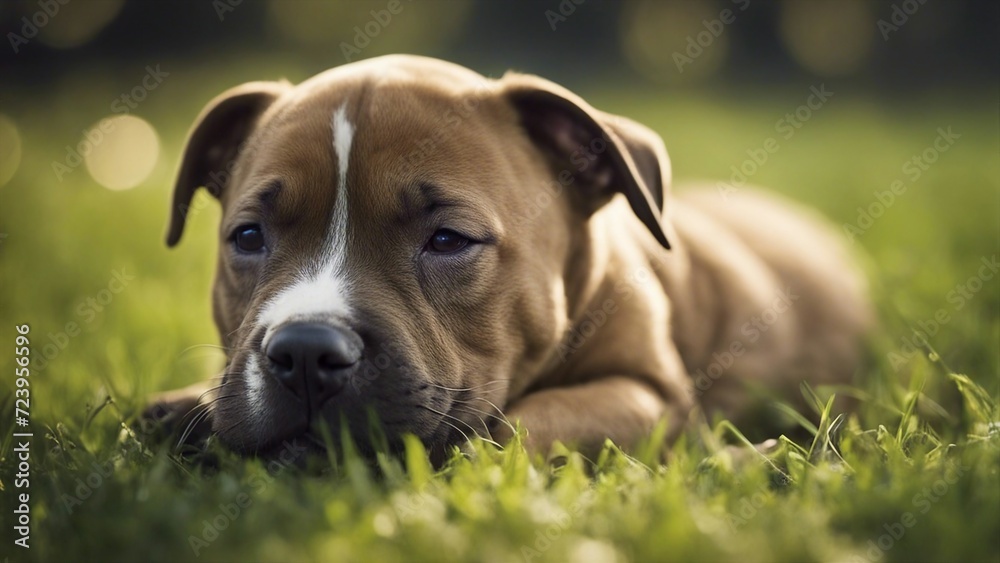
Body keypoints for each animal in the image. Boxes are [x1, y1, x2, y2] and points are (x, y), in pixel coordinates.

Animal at [146, 55, 868, 460]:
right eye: (248, 237)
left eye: (448, 240)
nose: (303, 352)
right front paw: (182, 408)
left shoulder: (648, 393)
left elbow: (515, 429)